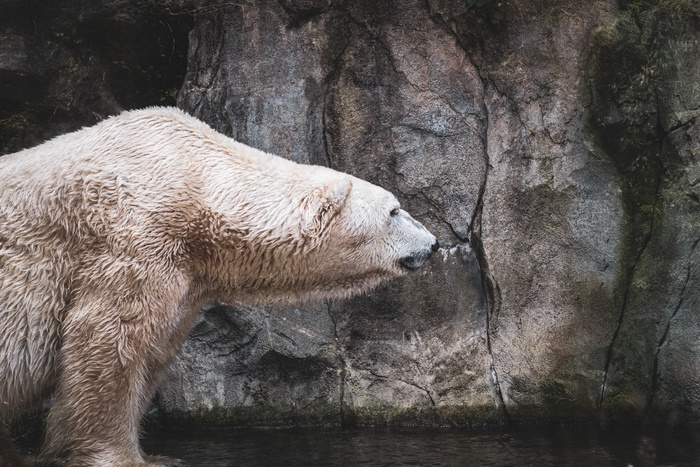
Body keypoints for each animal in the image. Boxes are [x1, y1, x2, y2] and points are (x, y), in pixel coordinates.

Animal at [0, 107, 438, 467]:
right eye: (394, 211)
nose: (433, 244)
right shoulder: (132, 238)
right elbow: (108, 338)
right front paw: (129, 458)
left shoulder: (185, 278)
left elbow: (153, 348)